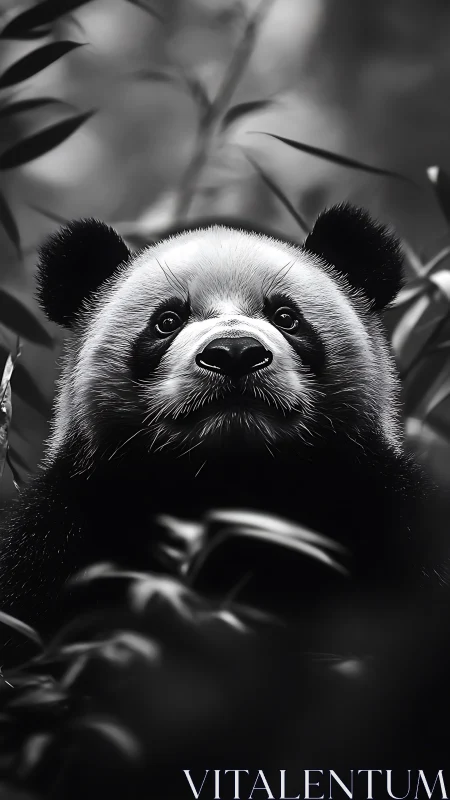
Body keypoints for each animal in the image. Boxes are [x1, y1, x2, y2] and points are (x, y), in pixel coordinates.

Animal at [0, 202, 432, 650]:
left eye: (286, 317)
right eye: (167, 320)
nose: (235, 353)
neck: (228, 478)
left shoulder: (382, 507)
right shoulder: (66, 526)